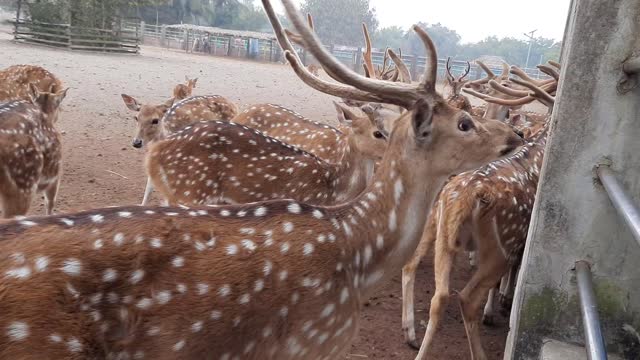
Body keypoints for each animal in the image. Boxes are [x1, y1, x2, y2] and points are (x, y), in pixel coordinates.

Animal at [400, 64, 556, 360]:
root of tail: (468, 197)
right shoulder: (520, 238)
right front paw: (499, 306)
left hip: (443, 234)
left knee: (436, 292)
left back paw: (413, 340)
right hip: (501, 245)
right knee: (466, 297)